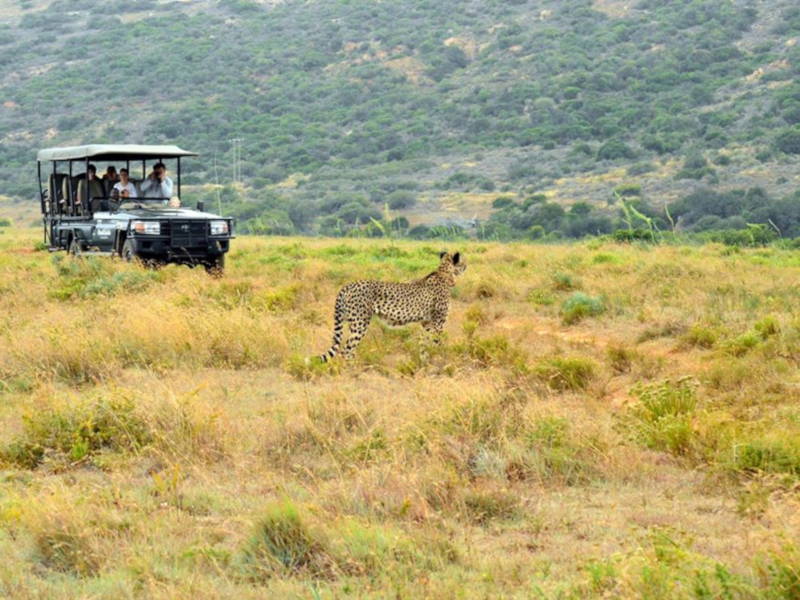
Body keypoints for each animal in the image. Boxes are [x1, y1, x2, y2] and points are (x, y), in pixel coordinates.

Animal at [318, 250, 466, 360]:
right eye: (463, 262)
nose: (466, 266)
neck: (444, 273)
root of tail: (348, 285)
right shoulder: (438, 323)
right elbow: (438, 344)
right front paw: (443, 359)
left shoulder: (427, 323)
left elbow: (423, 344)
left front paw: (425, 362)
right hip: (360, 322)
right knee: (347, 350)